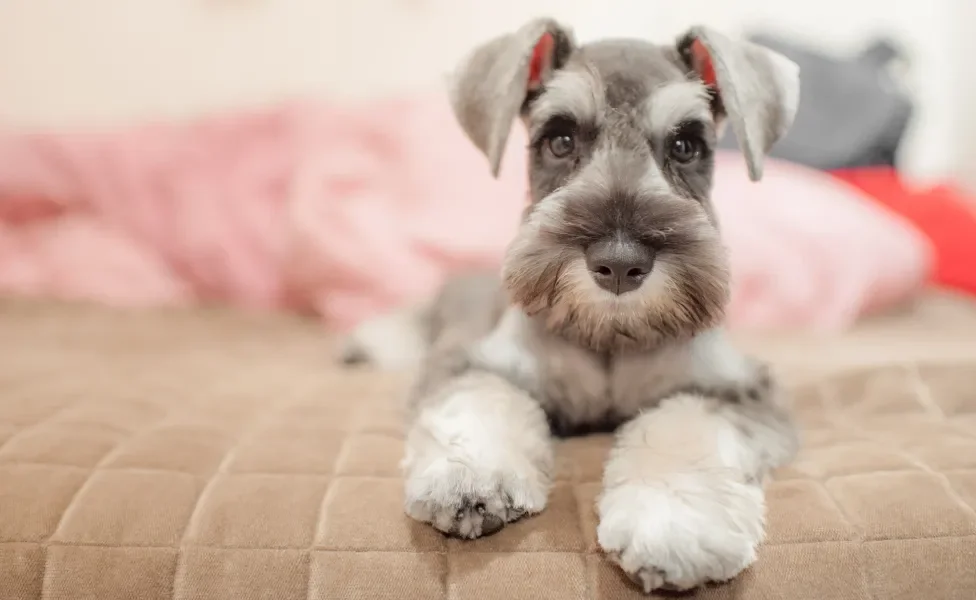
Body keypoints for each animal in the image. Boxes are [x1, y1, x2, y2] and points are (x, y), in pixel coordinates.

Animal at [344, 18, 800, 596]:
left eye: (686, 144)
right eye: (560, 139)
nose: (620, 263)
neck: (609, 335)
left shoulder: (736, 390)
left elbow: (685, 426)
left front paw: (674, 523)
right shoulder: (467, 361)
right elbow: (480, 397)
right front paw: (470, 474)